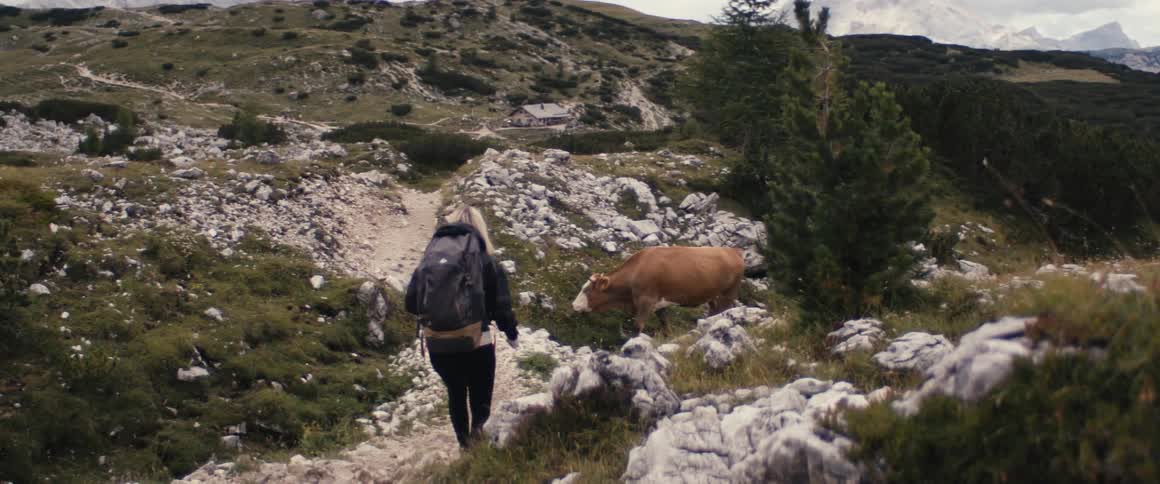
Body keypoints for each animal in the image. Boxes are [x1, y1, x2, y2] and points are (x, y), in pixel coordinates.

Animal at [571, 246, 745, 335]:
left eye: (587, 290)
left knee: (723, 310)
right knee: (713, 310)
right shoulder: (659, 304)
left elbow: (637, 326)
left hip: (729, 292)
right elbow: (665, 323)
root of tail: (733, 251)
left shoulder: (646, 301)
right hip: (712, 295)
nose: (574, 305)